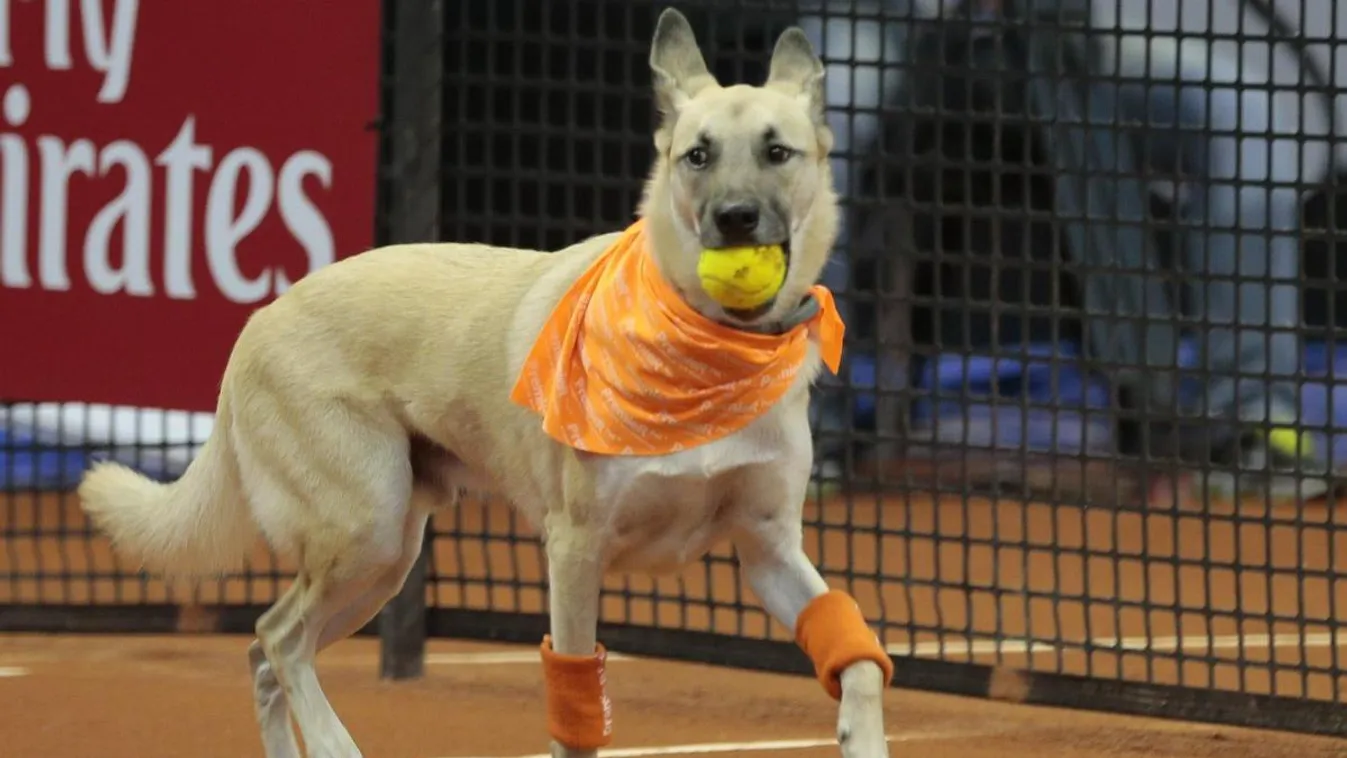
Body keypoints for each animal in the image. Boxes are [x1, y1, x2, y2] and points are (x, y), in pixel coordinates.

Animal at [73, 7, 894, 758]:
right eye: (698, 155)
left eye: (777, 151)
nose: (734, 218)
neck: (711, 351)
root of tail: (257, 322)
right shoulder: (575, 551)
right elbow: (575, 712)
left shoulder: (769, 548)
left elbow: (855, 659)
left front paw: (861, 736)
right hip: (367, 532)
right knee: (280, 639)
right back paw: (335, 743)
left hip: (383, 563)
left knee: (263, 649)